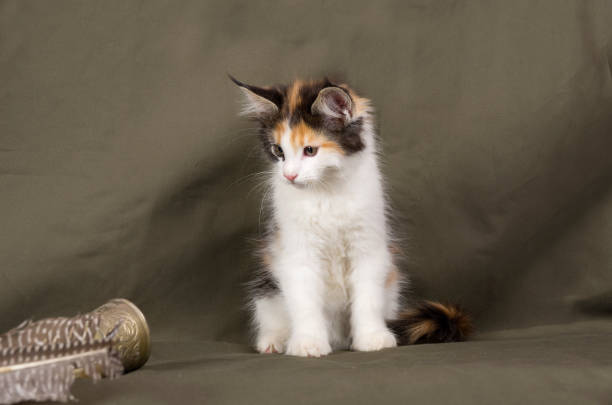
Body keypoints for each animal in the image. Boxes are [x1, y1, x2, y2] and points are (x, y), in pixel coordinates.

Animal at [232, 76, 470, 356]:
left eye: (310, 150)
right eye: (278, 151)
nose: (289, 175)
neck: (326, 193)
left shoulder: (368, 245)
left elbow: (367, 298)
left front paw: (372, 337)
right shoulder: (296, 251)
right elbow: (304, 302)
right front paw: (308, 342)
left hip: (392, 286)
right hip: (267, 285)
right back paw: (274, 341)